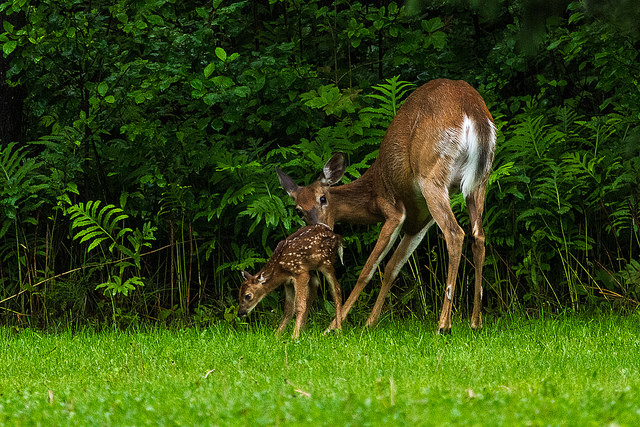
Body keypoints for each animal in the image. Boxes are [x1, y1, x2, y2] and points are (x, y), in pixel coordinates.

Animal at [276, 79, 496, 334]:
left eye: (323, 199)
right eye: (299, 211)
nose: (319, 229)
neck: (372, 190)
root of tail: (473, 111)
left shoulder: (393, 210)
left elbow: (368, 269)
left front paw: (333, 327)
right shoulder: (419, 222)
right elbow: (392, 268)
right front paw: (370, 322)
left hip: (431, 175)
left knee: (455, 233)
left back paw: (443, 325)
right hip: (479, 181)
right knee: (478, 236)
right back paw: (475, 322)